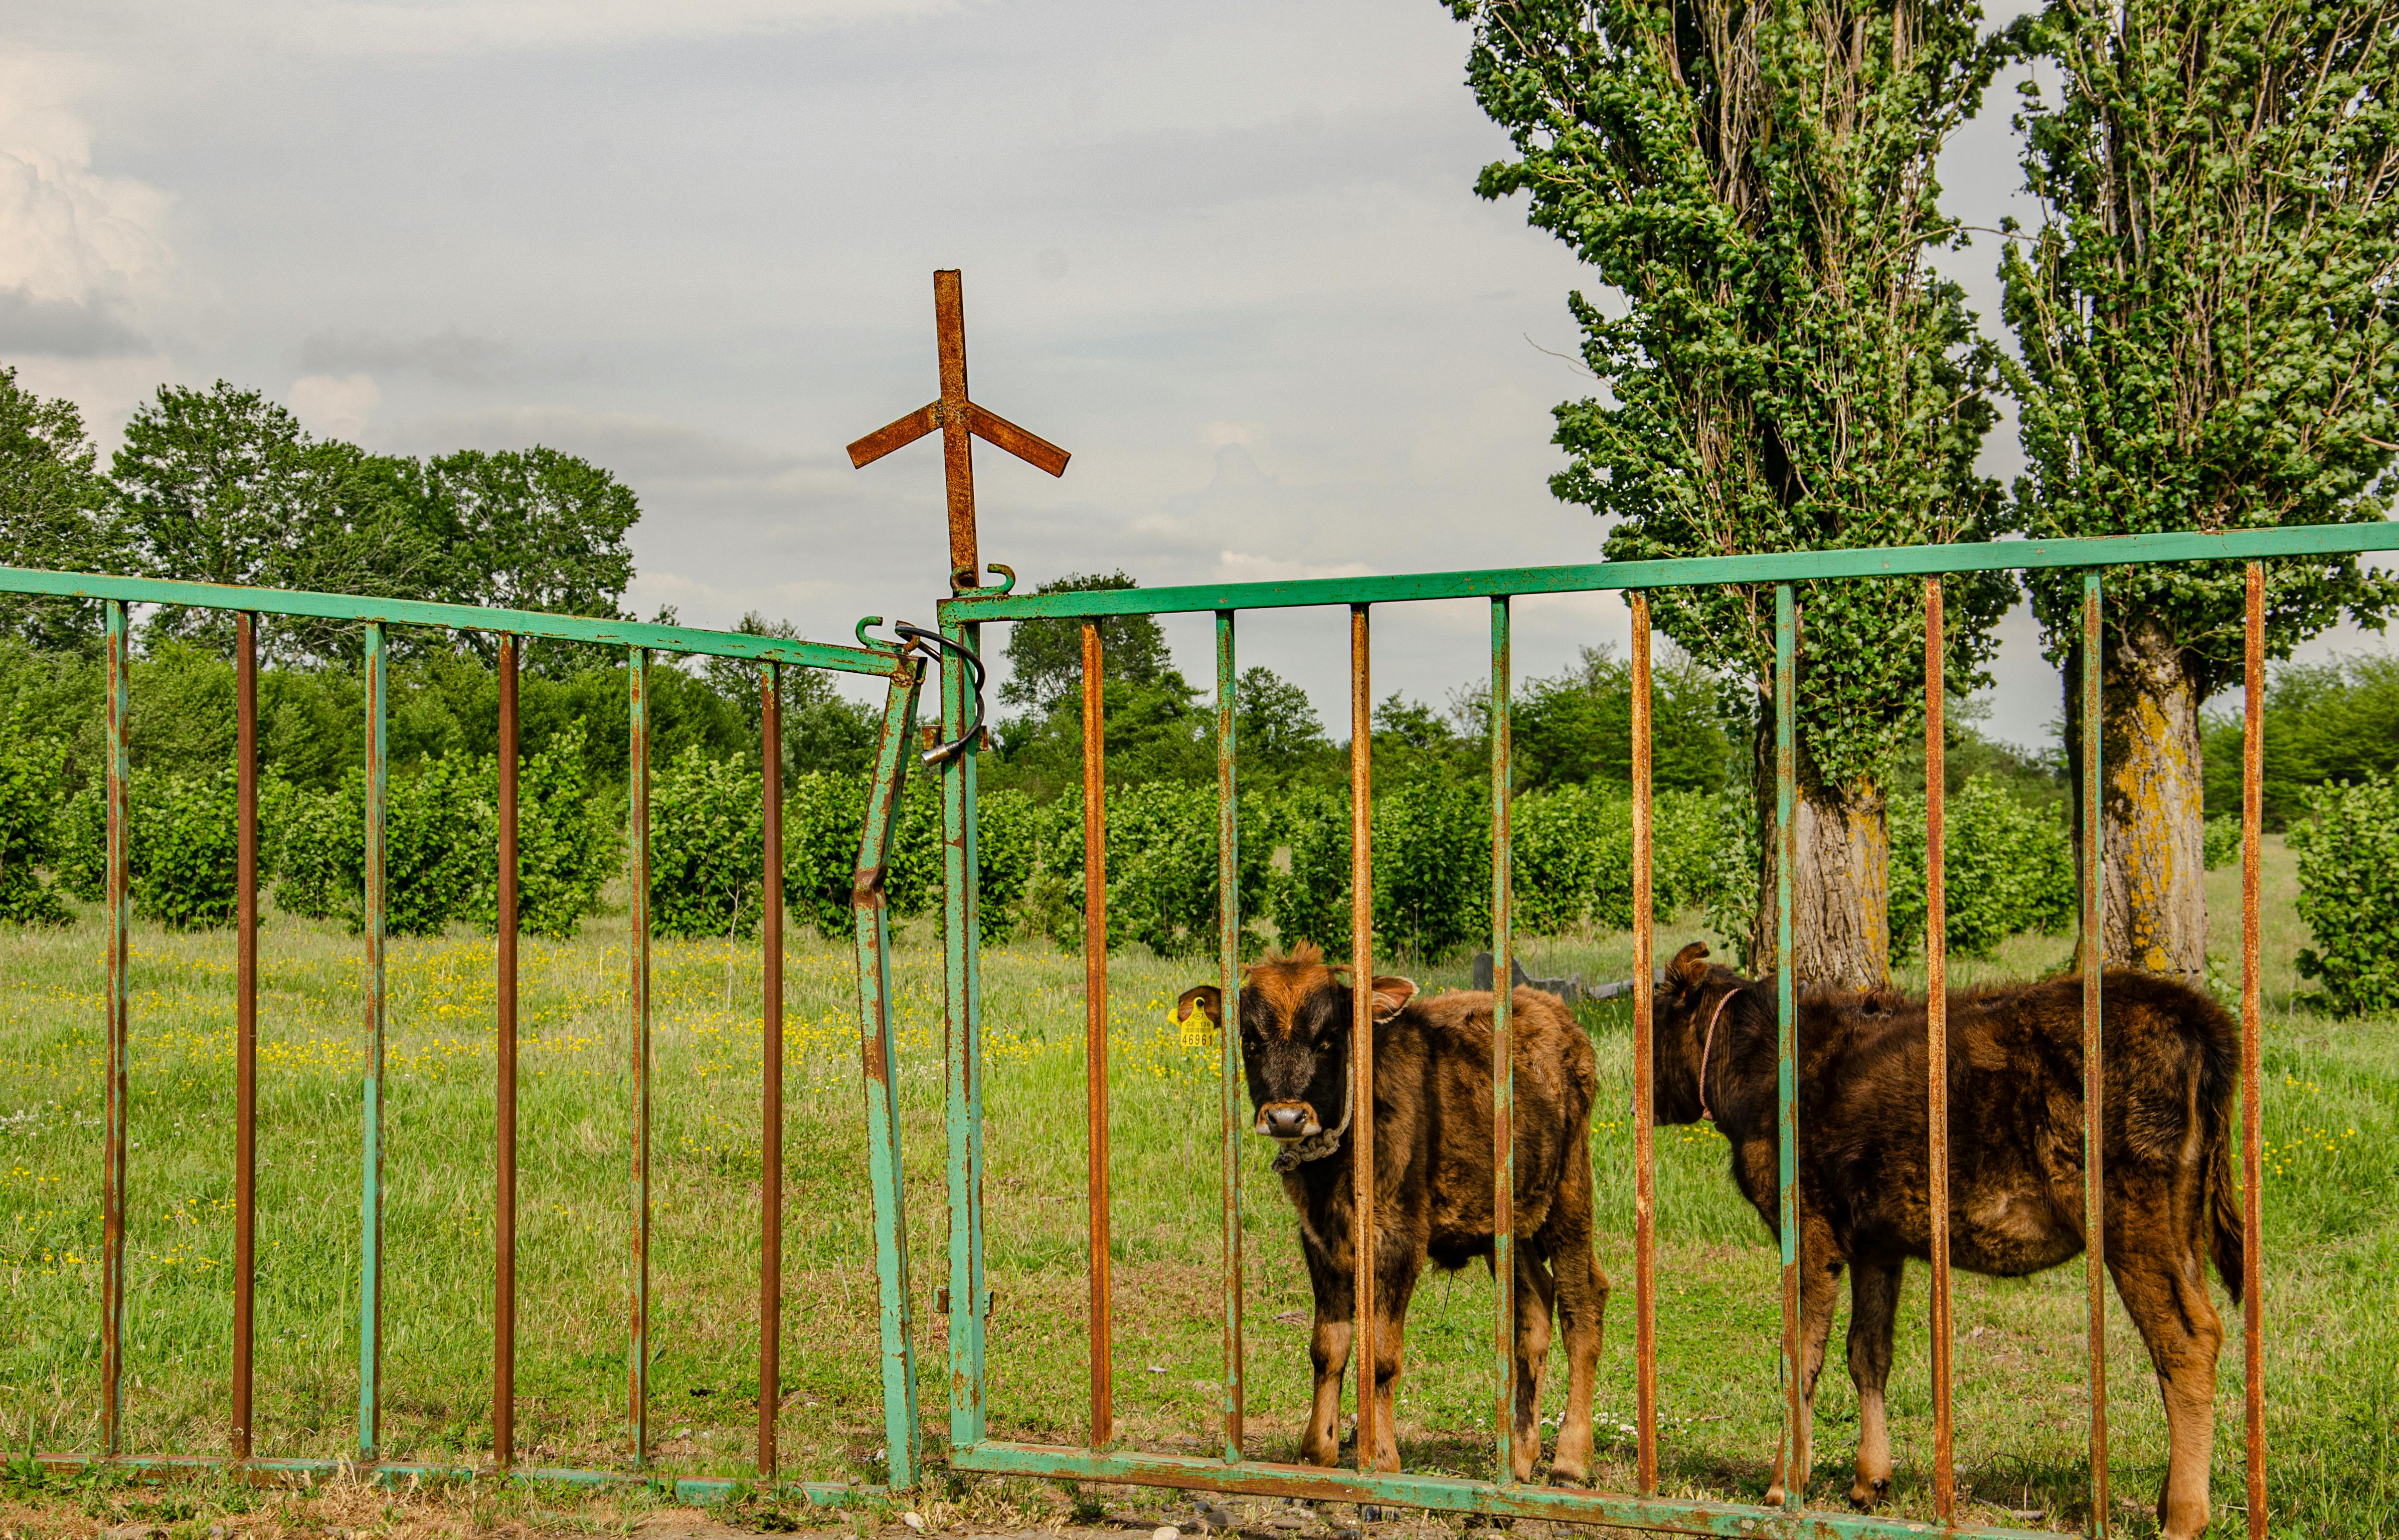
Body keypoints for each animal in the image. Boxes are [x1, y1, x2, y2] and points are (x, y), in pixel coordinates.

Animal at [1174, 942, 1607, 1481]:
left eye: (1328, 1038)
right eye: (1249, 1039)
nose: (1286, 1117)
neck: (1335, 1167)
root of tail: (1557, 1016)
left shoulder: (1399, 1241)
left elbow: (1380, 1356)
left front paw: (1381, 1455)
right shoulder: (1319, 1239)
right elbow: (1328, 1348)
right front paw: (1317, 1451)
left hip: (1570, 1192)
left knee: (1582, 1306)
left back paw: (1569, 1457)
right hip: (1511, 1225)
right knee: (1533, 1312)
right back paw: (1522, 1456)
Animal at [1650, 942, 2242, 1540]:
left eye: (1653, 1020)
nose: (1638, 1099)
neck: (1747, 1070)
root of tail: (2199, 1021)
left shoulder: (1809, 1228)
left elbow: (1800, 1357)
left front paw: (1780, 1487)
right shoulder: (1875, 1244)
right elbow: (1866, 1352)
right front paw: (1870, 1481)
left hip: (2133, 1219)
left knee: (2184, 1341)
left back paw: (2183, 1516)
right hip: (2182, 1224)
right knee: (2200, 1331)